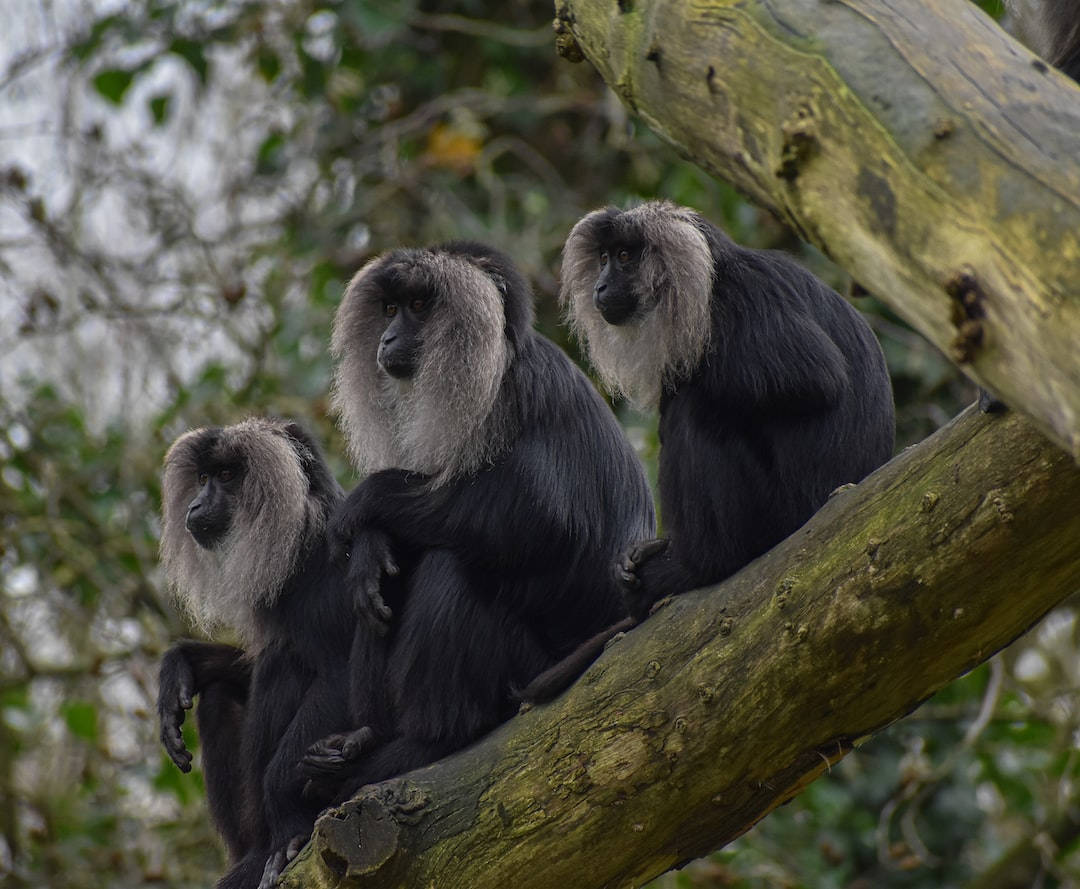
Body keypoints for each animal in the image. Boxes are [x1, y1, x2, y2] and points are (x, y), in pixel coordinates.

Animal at [156, 419, 358, 889]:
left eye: (228, 476)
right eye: (204, 478)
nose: (195, 504)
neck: (303, 538)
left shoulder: (334, 576)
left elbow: (341, 674)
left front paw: (284, 809)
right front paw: (181, 664)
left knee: (282, 663)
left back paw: (270, 844)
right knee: (222, 694)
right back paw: (248, 853)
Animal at [295, 237, 652, 799]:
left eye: (419, 306)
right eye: (390, 310)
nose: (388, 337)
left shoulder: (513, 394)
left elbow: (546, 516)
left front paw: (364, 505)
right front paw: (369, 546)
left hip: (527, 664)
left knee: (451, 565)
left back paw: (432, 741)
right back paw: (364, 739)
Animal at [522, 201, 894, 704]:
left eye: (625, 256)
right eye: (602, 259)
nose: (599, 286)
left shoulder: (742, 297)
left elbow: (812, 377)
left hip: (780, 513)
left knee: (696, 411)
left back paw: (693, 566)